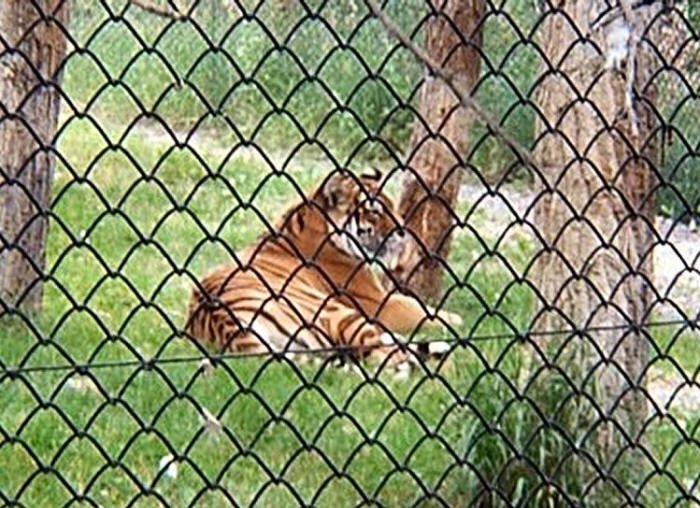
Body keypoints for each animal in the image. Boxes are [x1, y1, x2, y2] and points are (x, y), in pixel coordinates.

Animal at [184, 168, 462, 372]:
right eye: (374, 211)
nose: (403, 231)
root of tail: (224, 323)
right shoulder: (379, 303)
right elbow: (427, 312)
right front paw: (458, 320)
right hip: (334, 312)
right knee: (385, 358)